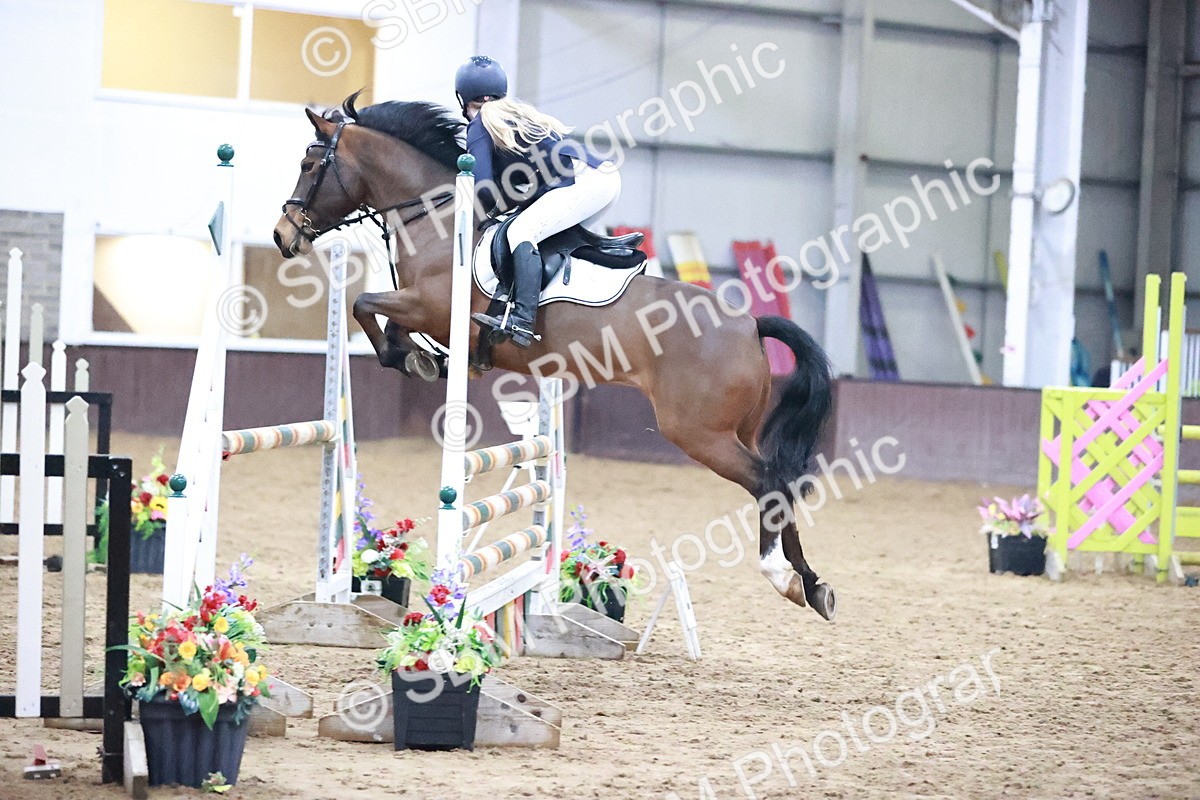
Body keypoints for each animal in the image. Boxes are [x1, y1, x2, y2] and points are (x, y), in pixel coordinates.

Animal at [273, 96, 838, 620]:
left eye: (308, 163)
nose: (283, 235)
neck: (441, 219)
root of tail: (750, 323)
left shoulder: (431, 307)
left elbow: (363, 305)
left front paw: (415, 359)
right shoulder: (419, 308)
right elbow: (380, 319)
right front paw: (422, 360)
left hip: (699, 433)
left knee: (767, 483)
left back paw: (782, 575)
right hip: (736, 429)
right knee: (780, 484)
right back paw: (812, 586)